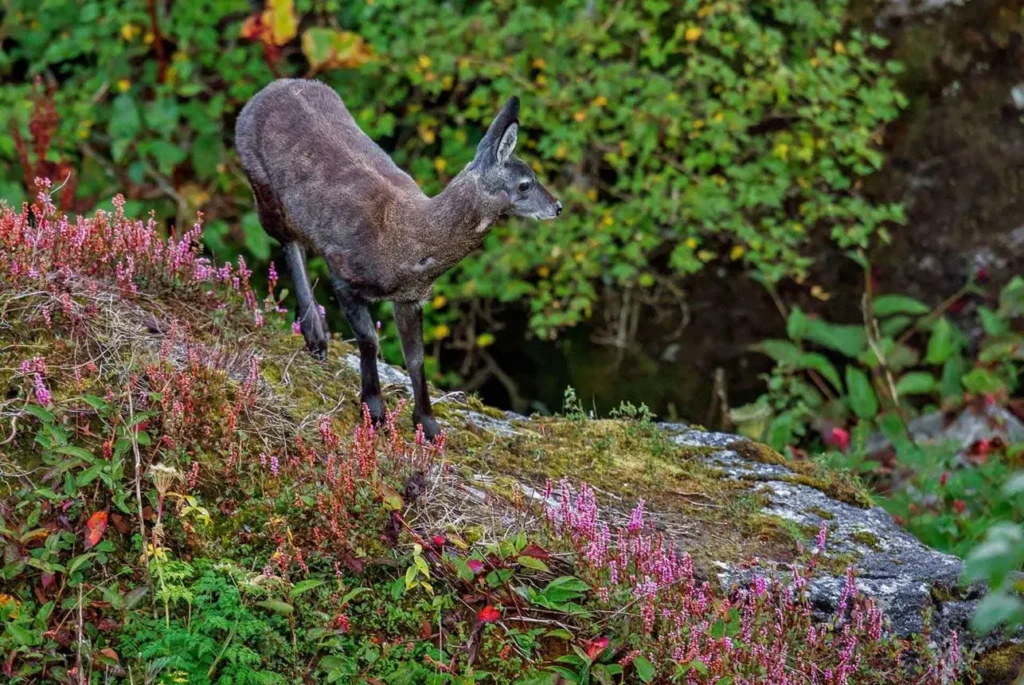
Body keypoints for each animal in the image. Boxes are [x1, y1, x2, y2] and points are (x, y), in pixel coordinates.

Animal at [235, 78, 562, 440]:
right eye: (525, 184)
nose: (558, 206)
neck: (409, 244)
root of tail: (269, 89)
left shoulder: (411, 297)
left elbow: (416, 358)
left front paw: (428, 426)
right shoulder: (342, 269)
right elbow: (369, 339)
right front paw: (373, 411)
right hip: (261, 185)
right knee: (288, 242)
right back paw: (316, 336)